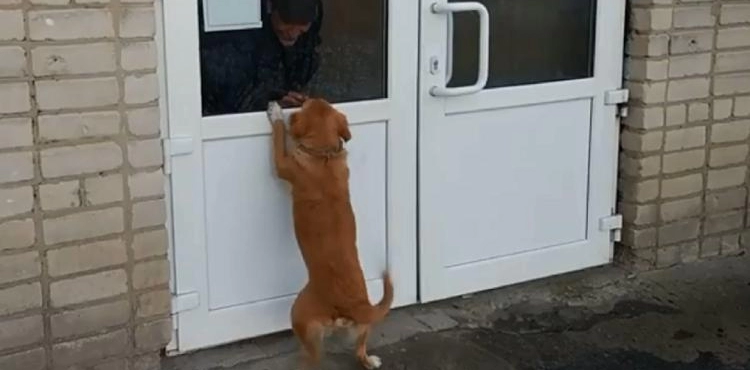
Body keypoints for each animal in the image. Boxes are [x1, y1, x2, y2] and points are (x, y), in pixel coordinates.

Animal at [270, 99, 400, 368]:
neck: (324, 156)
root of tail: (351, 306)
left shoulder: (282, 164)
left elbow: (278, 135)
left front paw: (275, 113)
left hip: (298, 312)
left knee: (314, 357)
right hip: (363, 326)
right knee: (359, 351)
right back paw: (370, 360)